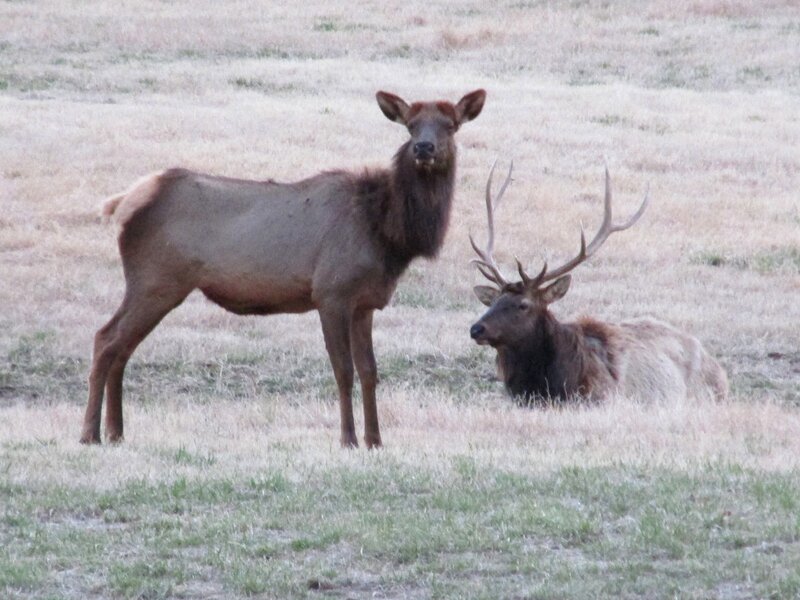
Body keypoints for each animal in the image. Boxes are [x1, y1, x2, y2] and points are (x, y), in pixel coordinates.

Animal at [81, 89, 487, 449]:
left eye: (450, 125)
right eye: (411, 126)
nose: (424, 148)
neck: (388, 233)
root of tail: (124, 201)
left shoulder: (364, 303)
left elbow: (370, 371)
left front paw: (376, 441)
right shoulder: (331, 292)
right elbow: (343, 370)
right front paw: (348, 440)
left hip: (156, 285)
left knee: (122, 347)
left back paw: (116, 433)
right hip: (156, 280)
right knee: (106, 338)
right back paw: (90, 434)